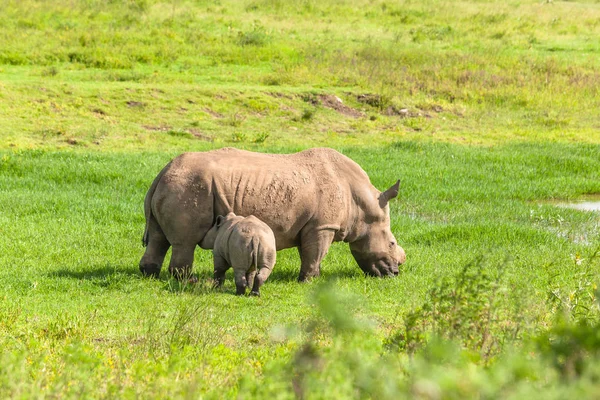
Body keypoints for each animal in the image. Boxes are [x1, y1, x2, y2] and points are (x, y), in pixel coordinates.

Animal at [138, 147, 406, 282]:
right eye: (392, 243)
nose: (395, 273)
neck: (362, 205)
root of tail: (163, 171)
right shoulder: (323, 226)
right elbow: (315, 254)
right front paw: (309, 281)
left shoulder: (312, 226)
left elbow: (309, 253)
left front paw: (311, 278)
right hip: (190, 187)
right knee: (185, 242)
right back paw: (187, 281)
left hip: (175, 185)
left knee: (158, 238)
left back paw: (149, 275)